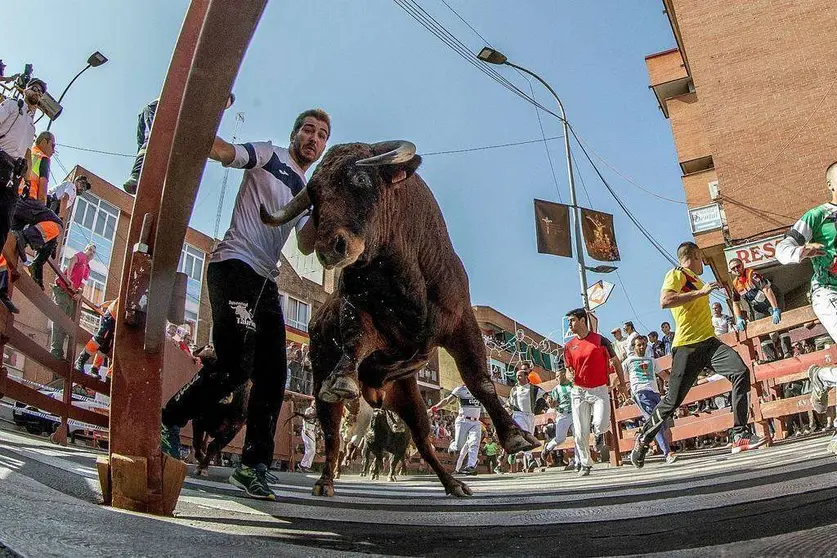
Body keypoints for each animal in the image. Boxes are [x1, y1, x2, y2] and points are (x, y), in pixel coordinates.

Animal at [260, 141, 536, 498]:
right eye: (315, 195)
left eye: (360, 179)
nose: (330, 248)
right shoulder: (358, 308)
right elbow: (354, 342)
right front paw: (344, 378)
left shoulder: (461, 322)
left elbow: (481, 380)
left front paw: (516, 436)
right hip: (323, 385)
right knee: (333, 437)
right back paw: (325, 481)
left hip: (408, 395)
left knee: (422, 438)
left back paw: (453, 483)